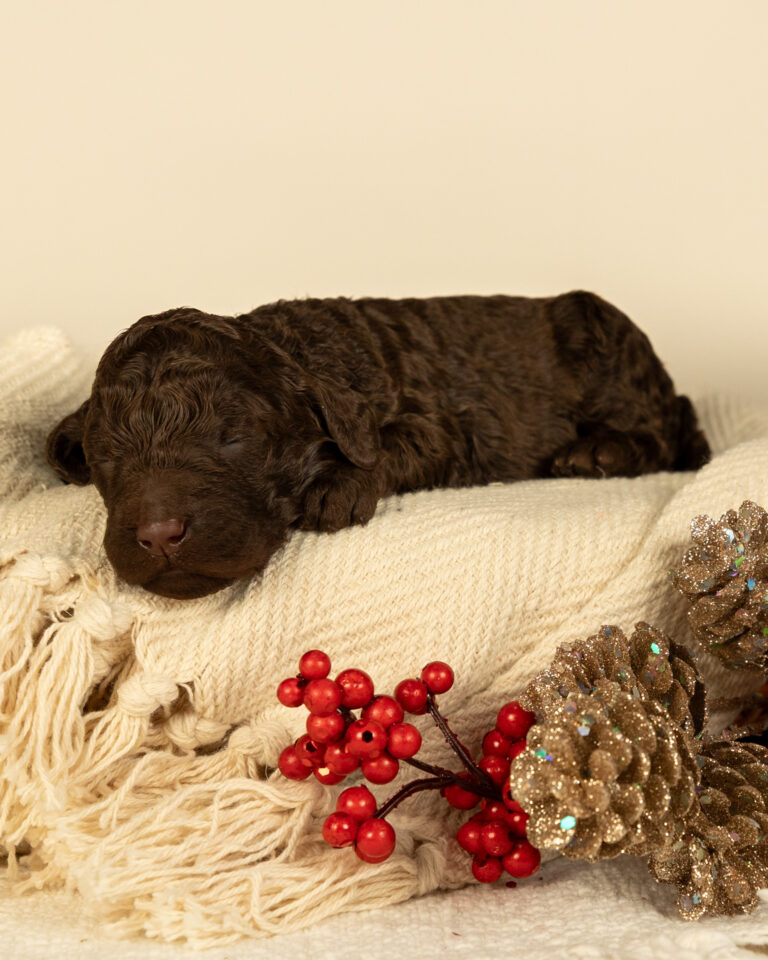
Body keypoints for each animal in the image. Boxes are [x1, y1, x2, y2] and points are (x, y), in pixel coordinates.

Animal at [46, 291, 710, 599]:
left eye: (233, 439)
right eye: (107, 457)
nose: (158, 535)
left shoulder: (440, 424)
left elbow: (390, 444)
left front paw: (336, 486)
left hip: (609, 345)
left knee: (667, 427)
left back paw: (597, 453)